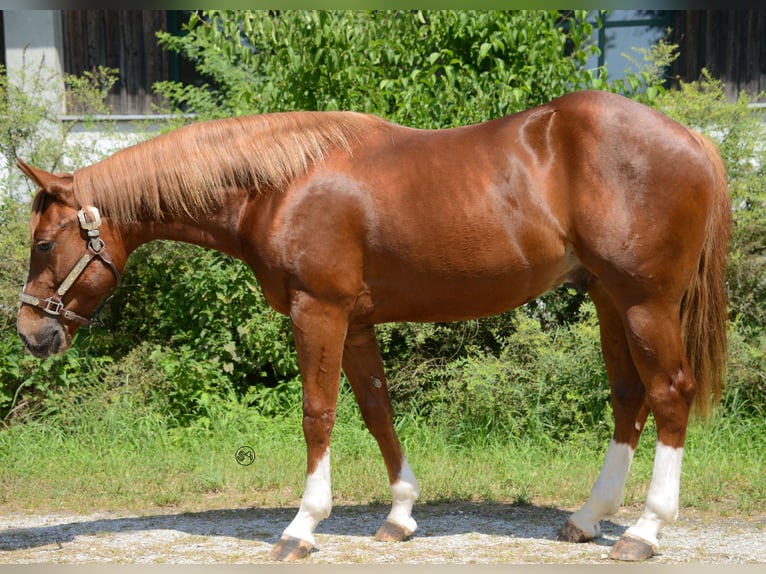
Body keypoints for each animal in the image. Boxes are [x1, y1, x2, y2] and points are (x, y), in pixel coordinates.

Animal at [15, 91, 728, 564]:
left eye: (44, 243)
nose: (29, 332)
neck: (279, 186)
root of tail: (695, 140)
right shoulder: (354, 323)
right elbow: (377, 410)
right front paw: (401, 515)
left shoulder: (319, 311)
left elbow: (318, 414)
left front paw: (302, 526)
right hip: (610, 299)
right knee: (629, 398)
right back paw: (588, 518)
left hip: (645, 303)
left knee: (670, 394)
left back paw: (644, 531)